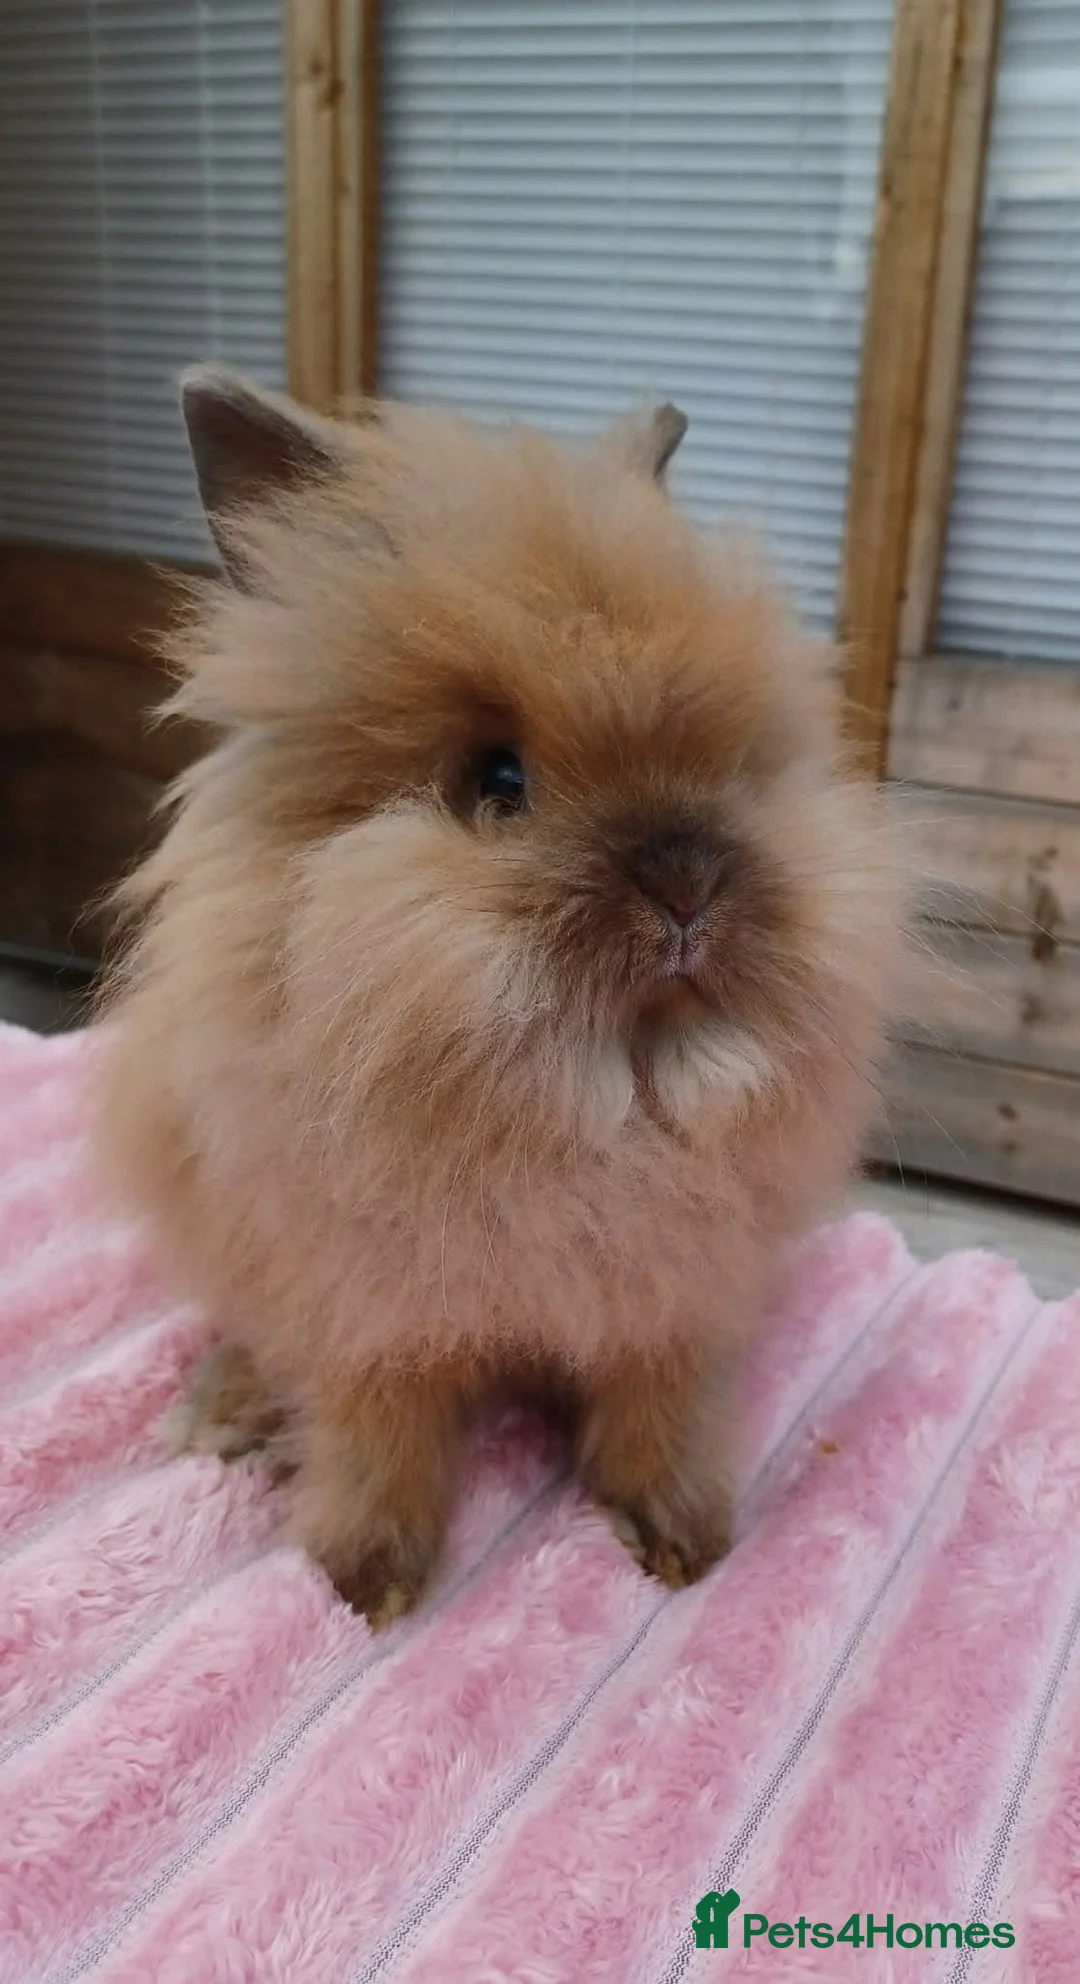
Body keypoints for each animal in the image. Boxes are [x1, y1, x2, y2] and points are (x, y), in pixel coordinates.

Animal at [93, 365, 903, 1625]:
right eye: (500, 781)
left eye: (731, 762)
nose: (688, 884)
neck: (596, 1102)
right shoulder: (367, 1318)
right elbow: (377, 1439)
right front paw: (361, 1585)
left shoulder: (672, 1310)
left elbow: (656, 1416)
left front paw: (679, 1544)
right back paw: (221, 1415)